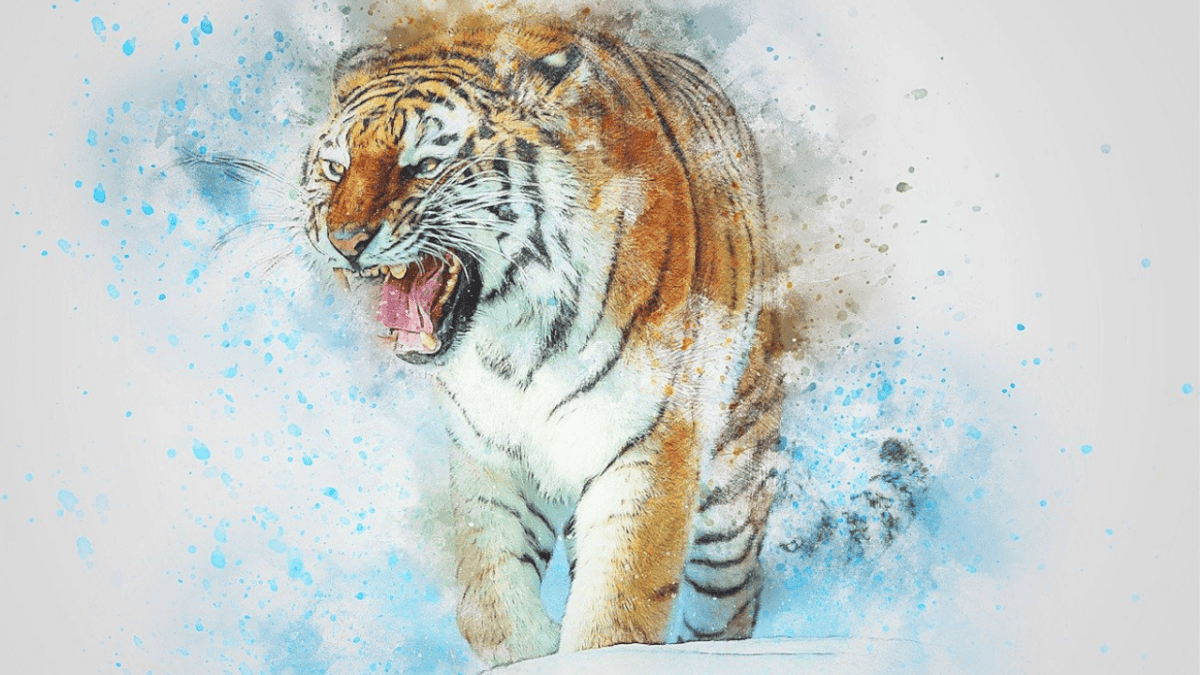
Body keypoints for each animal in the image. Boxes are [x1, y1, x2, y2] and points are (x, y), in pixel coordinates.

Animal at [299, 18, 787, 666]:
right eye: (335, 167)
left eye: (424, 165)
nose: (344, 239)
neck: (513, 338)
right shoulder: (489, 457)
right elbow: (490, 600)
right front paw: (531, 647)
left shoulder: (648, 448)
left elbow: (618, 611)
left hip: (733, 490)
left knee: (731, 598)